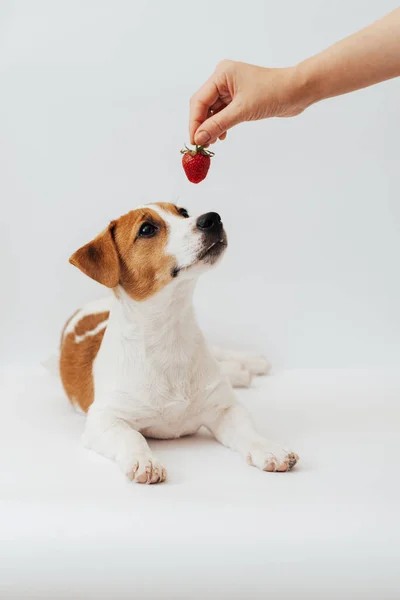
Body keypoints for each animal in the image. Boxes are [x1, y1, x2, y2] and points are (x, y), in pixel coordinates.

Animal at [58, 204, 296, 486]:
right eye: (146, 229)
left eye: (183, 212)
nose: (212, 218)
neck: (169, 336)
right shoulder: (104, 418)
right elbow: (130, 436)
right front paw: (144, 461)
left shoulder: (226, 408)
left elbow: (248, 432)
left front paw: (268, 448)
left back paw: (249, 364)